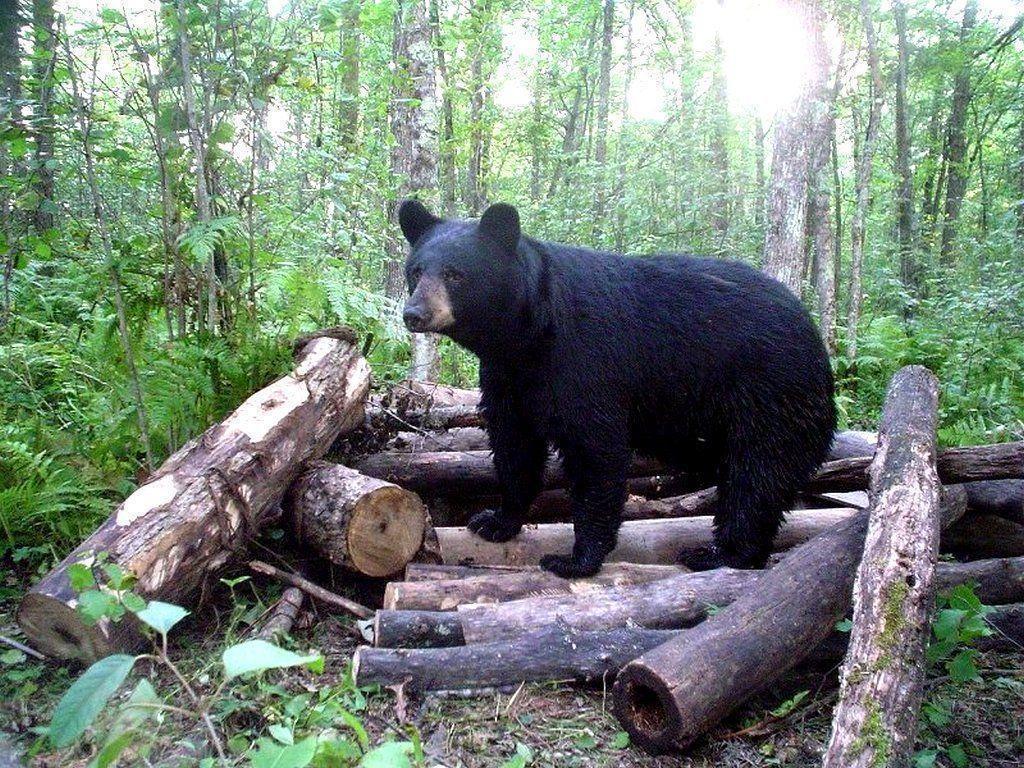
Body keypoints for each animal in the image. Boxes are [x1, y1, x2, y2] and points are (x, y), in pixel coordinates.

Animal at [398, 199, 836, 578]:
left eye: (455, 273)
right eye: (416, 271)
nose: (414, 314)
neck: (527, 335)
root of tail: (813, 336)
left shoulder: (586, 362)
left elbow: (596, 451)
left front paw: (576, 558)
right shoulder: (508, 377)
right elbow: (513, 444)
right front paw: (496, 520)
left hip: (768, 393)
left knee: (757, 474)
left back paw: (720, 554)